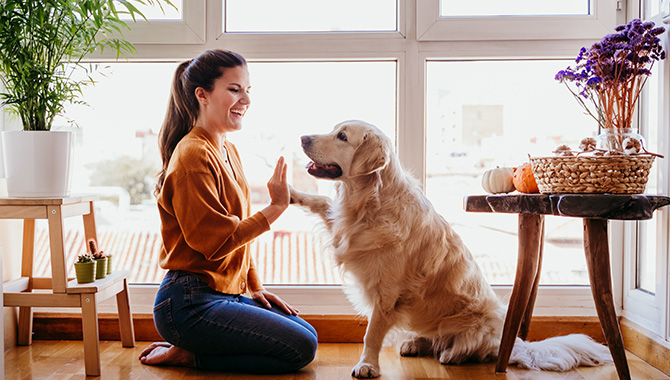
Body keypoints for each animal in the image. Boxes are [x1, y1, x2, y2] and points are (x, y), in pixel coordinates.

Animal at [290, 121, 616, 378]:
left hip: (480, 322)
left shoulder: (387, 293)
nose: (303, 137)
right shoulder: (343, 228)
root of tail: (514, 344)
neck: (369, 201)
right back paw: (415, 344)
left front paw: (367, 365)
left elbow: (372, 333)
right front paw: (291, 193)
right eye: (334, 130)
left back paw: (452, 354)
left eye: (342, 136)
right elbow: (321, 202)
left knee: (470, 348)